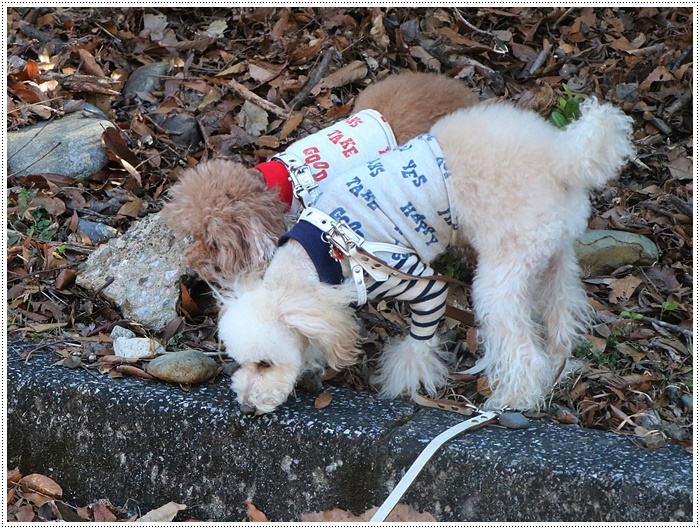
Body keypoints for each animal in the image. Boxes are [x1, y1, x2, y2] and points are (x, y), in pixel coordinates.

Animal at [219, 97, 636, 414]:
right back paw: (558, 370)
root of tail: (562, 159)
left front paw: (403, 382)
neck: (324, 250)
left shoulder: (415, 282)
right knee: (562, 320)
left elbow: (418, 344)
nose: (246, 409)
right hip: (554, 258)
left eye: (265, 363)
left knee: (523, 349)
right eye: (241, 362)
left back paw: (513, 399)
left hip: (500, 275)